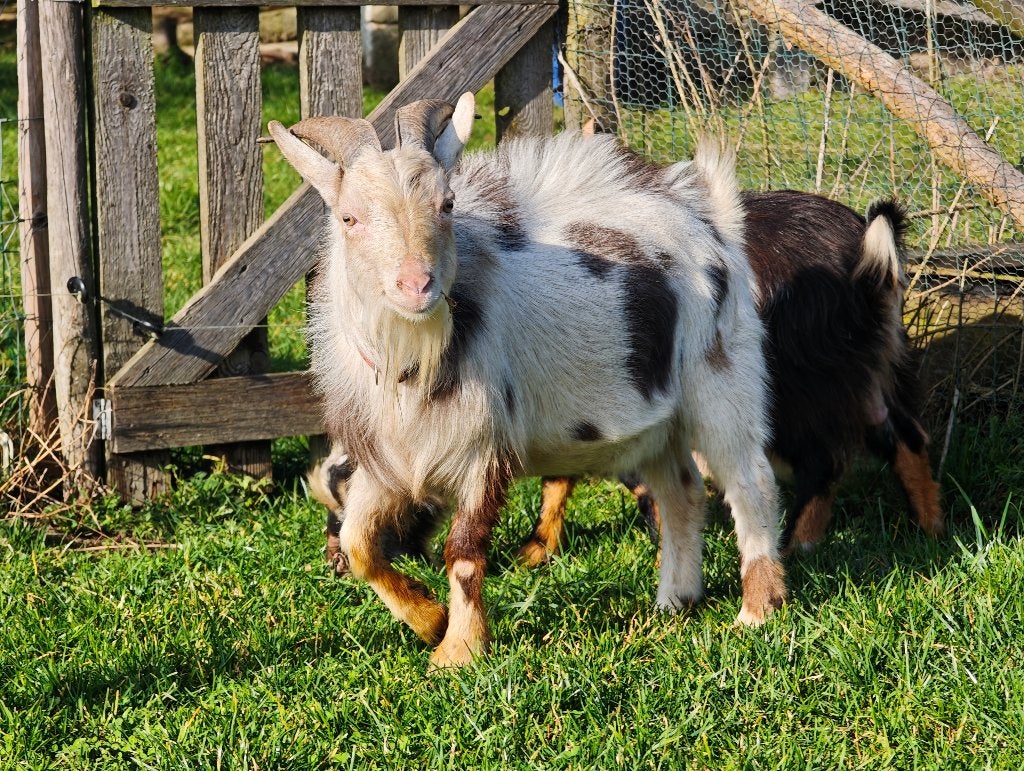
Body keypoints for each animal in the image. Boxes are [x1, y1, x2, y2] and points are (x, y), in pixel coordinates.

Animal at [271, 93, 785, 668]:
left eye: (447, 205)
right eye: (349, 217)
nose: (417, 284)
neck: (412, 362)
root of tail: (710, 214)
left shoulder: (482, 448)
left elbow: (463, 550)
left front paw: (460, 650)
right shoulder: (389, 458)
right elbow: (360, 544)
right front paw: (428, 619)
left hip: (720, 378)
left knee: (749, 482)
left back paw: (757, 610)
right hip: (656, 419)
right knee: (682, 492)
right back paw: (674, 599)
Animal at [517, 192, 943, 565]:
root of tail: (863, 241)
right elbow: (557, 478)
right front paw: (534, 553)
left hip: (795, 384)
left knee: (826, 460)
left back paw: (795, 549)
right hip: (867, 371)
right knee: (904, 434)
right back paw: (927, 532)